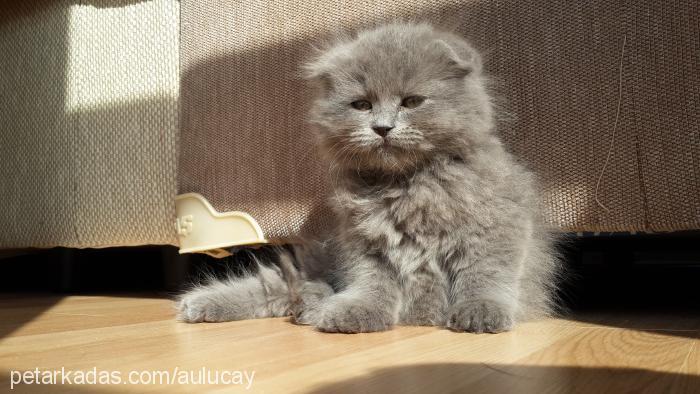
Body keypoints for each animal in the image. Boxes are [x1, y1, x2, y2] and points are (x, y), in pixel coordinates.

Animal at [178, 23, 560, 334]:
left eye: (412, 102)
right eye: (362, 105)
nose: (382, 127)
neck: (406, 183)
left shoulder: (499, 224)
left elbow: (485, 273)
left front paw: (481, 312)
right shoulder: (362, 239)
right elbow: (371, 281)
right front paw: (357, 311)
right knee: (275, 285)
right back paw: (205, 304)